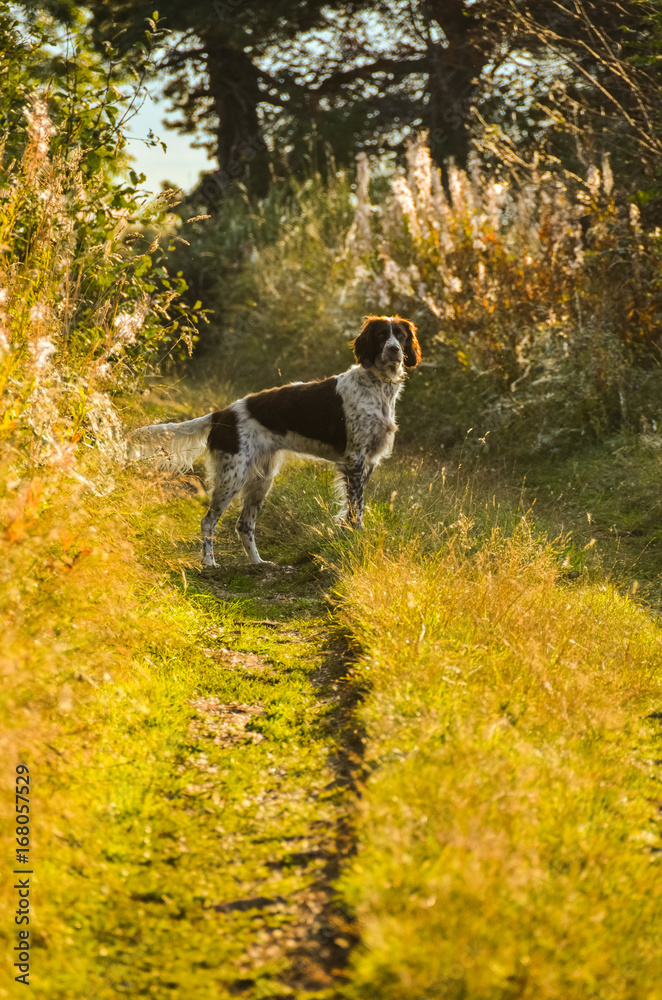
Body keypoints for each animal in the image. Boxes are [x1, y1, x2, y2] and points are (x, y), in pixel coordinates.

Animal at [127, 318, 422, 572]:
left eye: (401, 336)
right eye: (382, 335)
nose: (394, 350)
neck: (378, 386)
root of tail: (221, 414)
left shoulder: (368, 461)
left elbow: (355, 508)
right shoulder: (355, 460)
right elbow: (355, 511)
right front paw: (356, 540)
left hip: (262, 479)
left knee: (244, 524)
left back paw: (257, 563)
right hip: (233, 476)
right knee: (208, 521)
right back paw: (209, 562)